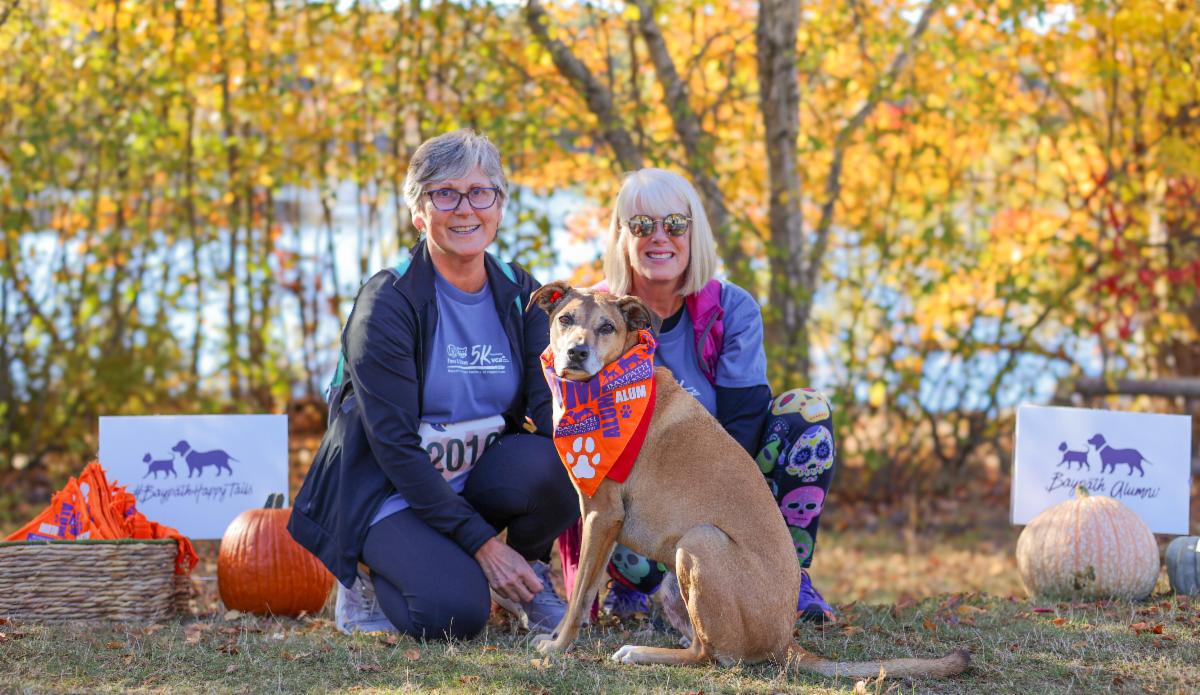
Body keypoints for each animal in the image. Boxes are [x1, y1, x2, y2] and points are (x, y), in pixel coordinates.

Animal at [529, 282, 968, 678]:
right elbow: (584, 589)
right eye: (566, 319)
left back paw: (640, 653)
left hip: (699, 541)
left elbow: (579, 594)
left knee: (706, 654)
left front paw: (558, 645)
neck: (604, 390)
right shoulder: (597, 518)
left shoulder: (602, 515)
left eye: (606, 327)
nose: (576, 353)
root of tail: (786, 641)